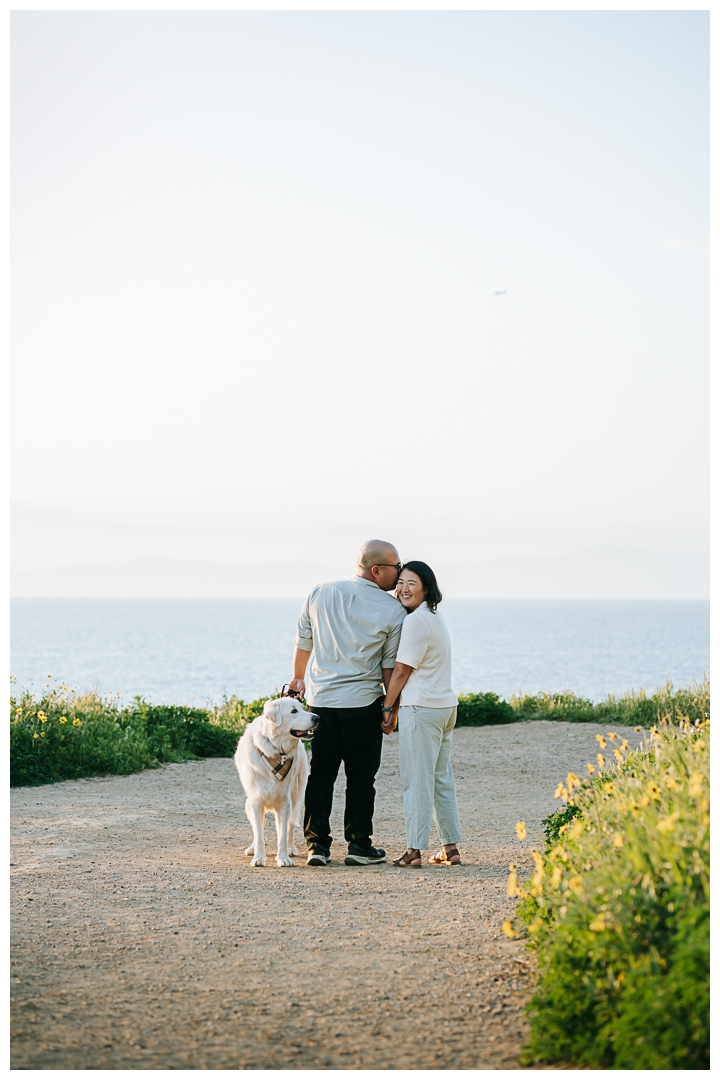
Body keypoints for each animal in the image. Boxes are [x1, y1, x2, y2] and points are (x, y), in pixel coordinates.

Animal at [235, 699, 317, 868]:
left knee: (289, 825)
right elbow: (259, 834)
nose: (317, 718)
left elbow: (283, 834)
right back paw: (252, 848)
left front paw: (284, 858)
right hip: (248, 805)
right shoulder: (256, 802)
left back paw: (291, 849)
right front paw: (258, 858)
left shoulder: (284, 802)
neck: (274, 751)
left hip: (294, 797)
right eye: (294, 711)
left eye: (302, 708)